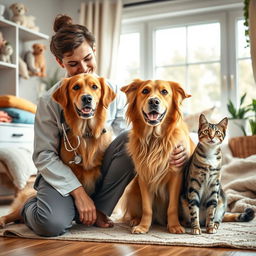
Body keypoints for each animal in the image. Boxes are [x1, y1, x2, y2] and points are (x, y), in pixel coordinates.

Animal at [0, 73, 115, 227]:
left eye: (94, 87)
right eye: (76, 87)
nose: (87, 98)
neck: (85, 132)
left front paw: (101, 218)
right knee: (21, 209)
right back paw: (5, 220)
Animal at [120, 78, 194, 234]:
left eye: (164, 91)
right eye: (145, 91)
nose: (154, 101)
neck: (155, 139)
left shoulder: (176, 176)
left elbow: (172, 207)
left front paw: (174, 226)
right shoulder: (144, 176)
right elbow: (147, 208)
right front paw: (143, 226)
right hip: (133, 190)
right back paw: (135, 219)